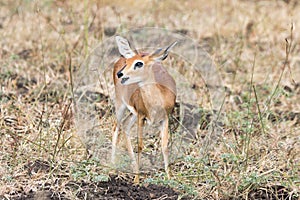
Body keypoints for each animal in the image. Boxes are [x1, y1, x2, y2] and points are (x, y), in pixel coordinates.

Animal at [111, 36, 177, 183]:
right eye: (128, 62)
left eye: (139, 64)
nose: (120, 74)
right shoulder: (142, 117)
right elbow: (140, 146)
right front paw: (137, 180)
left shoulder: (164, 119)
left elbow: (164, 146)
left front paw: (170, 177)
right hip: (120, 105)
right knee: (116, 127)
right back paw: (111, 167)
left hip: (133, 114)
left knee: (125, 126)